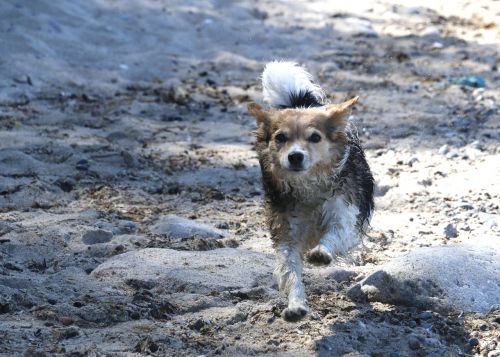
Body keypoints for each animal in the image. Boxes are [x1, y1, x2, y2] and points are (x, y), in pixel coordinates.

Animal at [248, 60, 374, 320]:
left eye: (315, 137)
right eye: (280, 138)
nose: (295, 156)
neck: (308, 187)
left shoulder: (344, 214)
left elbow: (334, 234)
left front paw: (321, 253)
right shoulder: (287, 231)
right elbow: (290, 271)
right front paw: (296, 305)